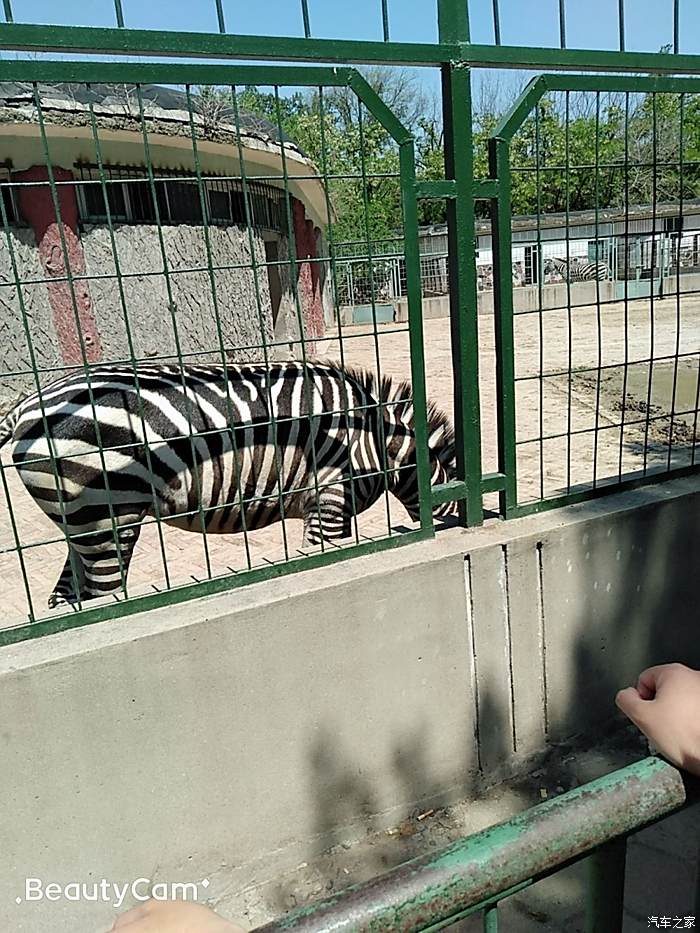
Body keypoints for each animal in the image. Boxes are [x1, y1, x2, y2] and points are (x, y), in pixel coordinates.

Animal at [0, 360, 456, 608]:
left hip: (80, 523)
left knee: (66, 595)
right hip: (106, 518)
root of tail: (26, 403)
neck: (378, 441)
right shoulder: (328, 501)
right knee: (100, 595)